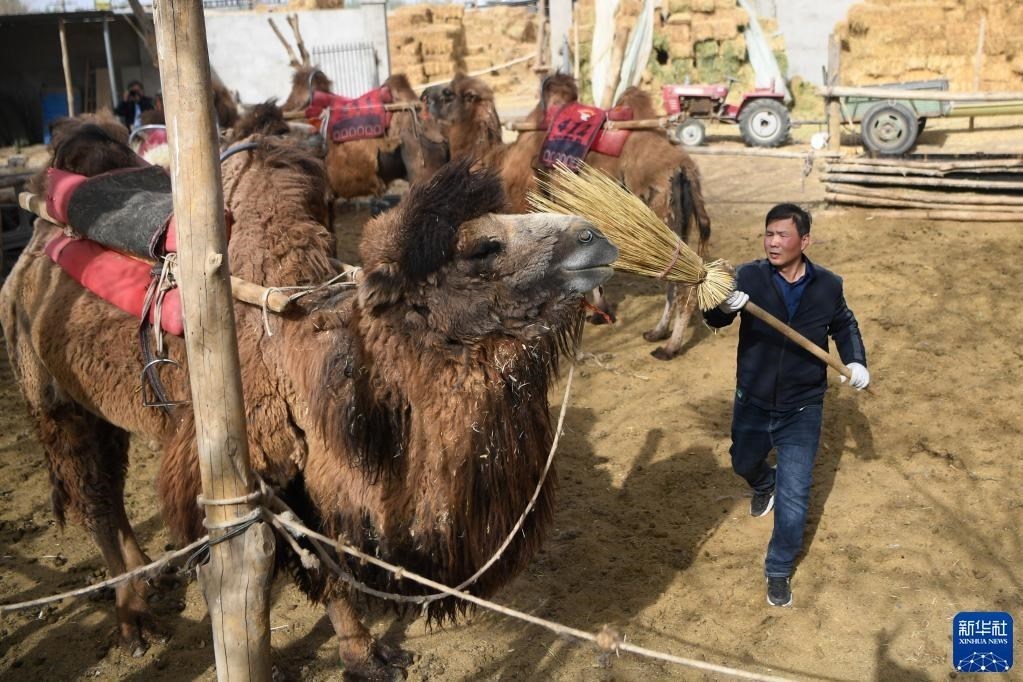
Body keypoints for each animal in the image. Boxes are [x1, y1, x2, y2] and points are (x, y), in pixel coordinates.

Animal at [0, 125, 617, 677]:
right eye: (482, 249)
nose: (597, 236)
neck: (301, 350)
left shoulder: (312, 470)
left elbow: (328, 561)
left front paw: (366, 656)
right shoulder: (235, 467)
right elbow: (263, 566)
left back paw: (153, 579)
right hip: (51, 395)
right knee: (96, 494)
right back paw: (135, 621)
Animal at [423, 73, 713, 360]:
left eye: (448, 93)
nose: (424, 95)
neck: (498, 161)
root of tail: (684, 167)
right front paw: (598, 312)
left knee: (687, 283)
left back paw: (670, 347)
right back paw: (657, 332)